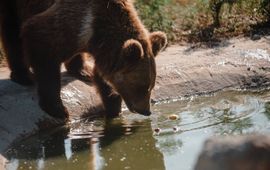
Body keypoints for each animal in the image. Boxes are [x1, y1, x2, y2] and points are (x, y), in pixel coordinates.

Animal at [0, 0, 168, 119]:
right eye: (142, 86)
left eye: (151, 85)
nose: (146, 111)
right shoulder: (71, 20)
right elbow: (42, 43)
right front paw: (58, 110)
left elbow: (102, 76)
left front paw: (113, 107)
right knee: (11, 30)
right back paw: (24, 76)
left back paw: (82, 71)